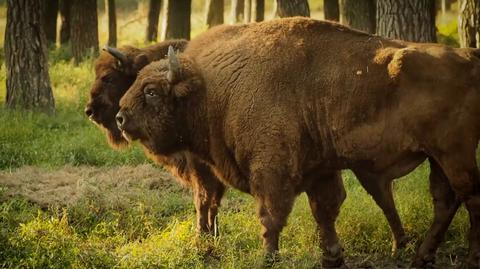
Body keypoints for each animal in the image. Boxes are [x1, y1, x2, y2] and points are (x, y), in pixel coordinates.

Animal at [85, 39, 227, 234]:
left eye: (108, 77)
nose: (89, 111)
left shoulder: (199, 163)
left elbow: (204, 197)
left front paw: (201, 232)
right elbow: (212, 198)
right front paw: (212, 232)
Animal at [116, 17, 480, 266]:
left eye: (151, 91)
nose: (120, 117)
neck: (212, 88)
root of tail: (468, 57)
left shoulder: (271, 170)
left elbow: (272, 214)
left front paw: (268, 257)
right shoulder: (321, 170)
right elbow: (325, 210)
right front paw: (332, 256)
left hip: (454, 153)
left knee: (469, 196)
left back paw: (470, 255)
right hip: (436, 156)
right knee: (445, 200)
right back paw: (422, 256)